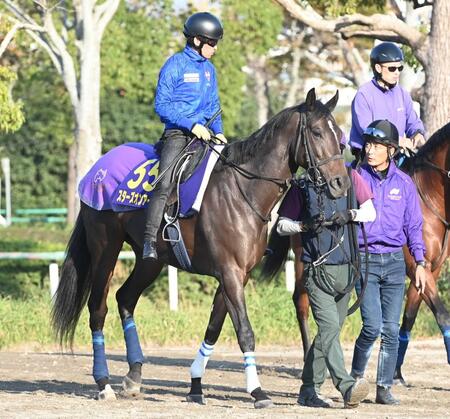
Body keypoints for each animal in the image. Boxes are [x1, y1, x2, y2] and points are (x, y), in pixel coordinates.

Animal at [51, 88, 350, 406]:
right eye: (317, 132)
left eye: (339, 134)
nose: (340, 183)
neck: (242, 191)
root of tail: (96, 170)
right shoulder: (230, 273)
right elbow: (245, 331)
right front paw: (257, 391)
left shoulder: (237, 275)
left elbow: (214, 328)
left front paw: (195, 384)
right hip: (105, 251)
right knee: (98, 308)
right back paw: (104, 382)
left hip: (149, 260)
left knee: (125, 299)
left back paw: (134, 375)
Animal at [268, 122, 450, 380]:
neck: (429, 197)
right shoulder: (415, 267)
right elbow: (442, 314)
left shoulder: (427, 271)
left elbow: (409, 318)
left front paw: (396, 372)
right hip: (307, 262)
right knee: (302, 302)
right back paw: (307, 360)